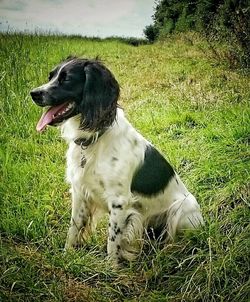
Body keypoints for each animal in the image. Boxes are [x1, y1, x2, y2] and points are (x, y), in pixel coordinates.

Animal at [30, 57, 203, 264]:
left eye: (66, 79)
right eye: (51, 76)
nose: (33, 93)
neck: (94, 138)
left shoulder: (119, 202)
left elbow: (112, 242)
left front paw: (111, 268)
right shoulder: (80, 193)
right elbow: (73, 230)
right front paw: (67, 257)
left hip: (182, 208)